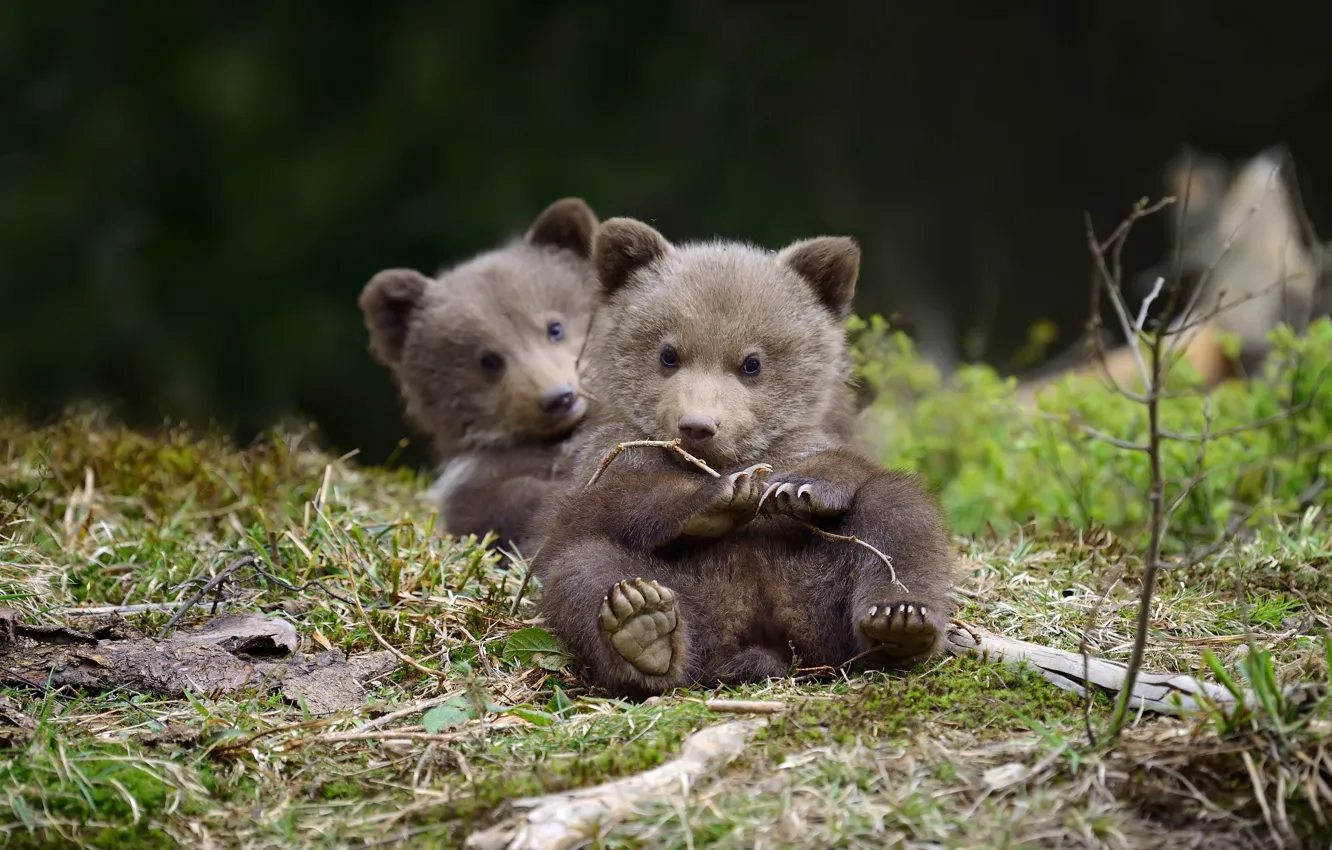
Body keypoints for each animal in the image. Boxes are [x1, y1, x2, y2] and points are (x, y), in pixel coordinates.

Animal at [529, 217, 957, 699]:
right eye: (668, 354)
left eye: (751, 362)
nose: (697, 425)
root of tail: (762, 636)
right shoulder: (608, 455)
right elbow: (607, 505)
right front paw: (720, 497)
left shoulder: (813, 438)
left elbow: (847, 467)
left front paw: (798, 488)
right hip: (691, 592)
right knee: (584, 567)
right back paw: (642, 626)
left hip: (819, 587)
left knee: (898, 512)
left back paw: (899, 620)